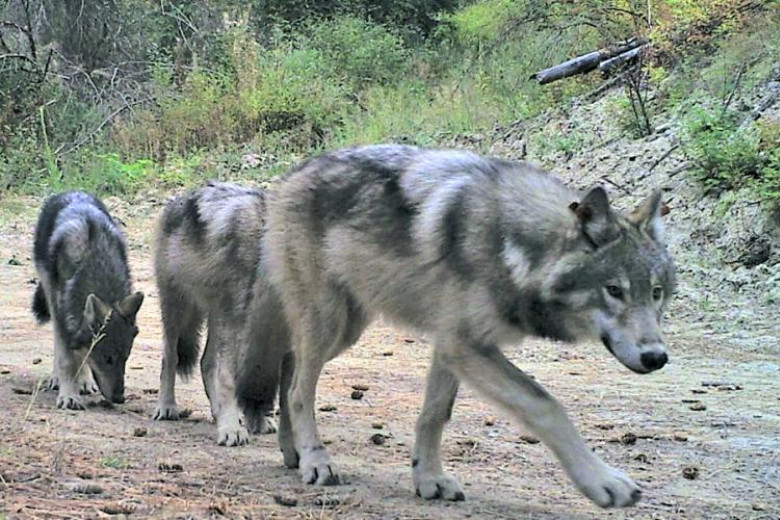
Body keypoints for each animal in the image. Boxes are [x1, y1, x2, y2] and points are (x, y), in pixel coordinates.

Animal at [32, 191, 144, 410]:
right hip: (50, 292)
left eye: (125, 358)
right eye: (108, 359)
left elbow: (82, 355)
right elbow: (67, 359)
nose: (120, 398)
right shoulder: (63, 312)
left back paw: (84, 381)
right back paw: (57, 379)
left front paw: (81, 383)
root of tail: (71, 191)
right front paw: (69, 396)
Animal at [153, 181, 287, 446]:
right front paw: (232, 428)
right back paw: (167, 406)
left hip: (217, 317)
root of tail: (179, 200)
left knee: (206, 362)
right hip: (179, 310)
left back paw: (217, 411)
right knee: (170, 357)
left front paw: (256, 420)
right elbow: (228, 380)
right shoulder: (237, 322)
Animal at [265, 144, 676, 508]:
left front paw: (429, 478)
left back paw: (293, 451)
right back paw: (316, 461)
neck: (515, 248)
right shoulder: (464, 345)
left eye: (656, 293)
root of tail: (290, 176)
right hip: (330, 323)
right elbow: (547, 406)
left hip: (346, 330)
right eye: (614, 290)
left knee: (288, 369)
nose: (656, 357)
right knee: (300, 390)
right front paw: (603, 481)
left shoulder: (451, 347)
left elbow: (434, 415)